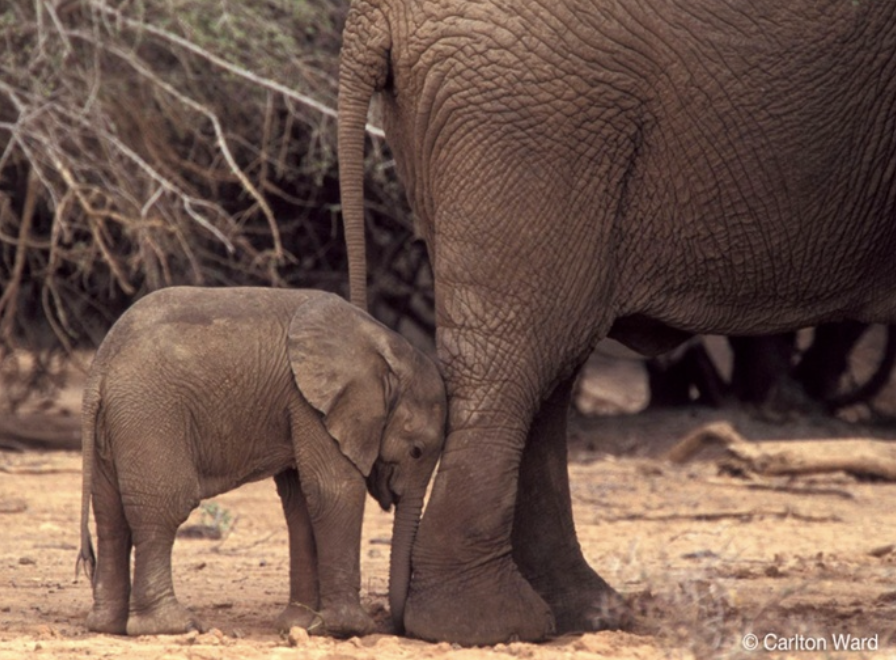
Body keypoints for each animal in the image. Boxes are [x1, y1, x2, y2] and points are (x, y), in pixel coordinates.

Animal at [76, 287, 446, 637]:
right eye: (416, 450)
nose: (396, 626)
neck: (384, 343)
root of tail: (99, 368)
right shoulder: (310, 403)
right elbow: (333, 490)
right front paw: (349, 629)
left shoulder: (298, 404)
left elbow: (301, 502)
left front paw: (298, 625)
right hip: (150, 415)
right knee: (162, 511)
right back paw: (173, 626)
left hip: (112, 427)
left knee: (110, 516)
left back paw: (106, 625)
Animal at [336, 0, 896, 646]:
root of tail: (371, 16)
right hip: (535, 112)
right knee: (516, 356)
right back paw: (491, 625)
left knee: (548, 361)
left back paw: (584, 614)